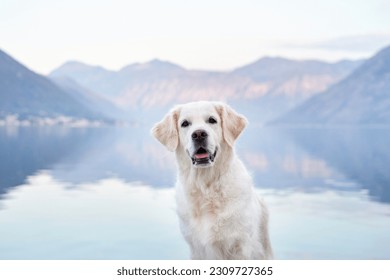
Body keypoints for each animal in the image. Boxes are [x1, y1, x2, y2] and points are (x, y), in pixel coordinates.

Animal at [151, 101, 272, 260]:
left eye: (212, 120)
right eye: (185, 123)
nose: (198, 134)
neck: (206, 187)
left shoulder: (241, 246)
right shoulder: (196, 249)